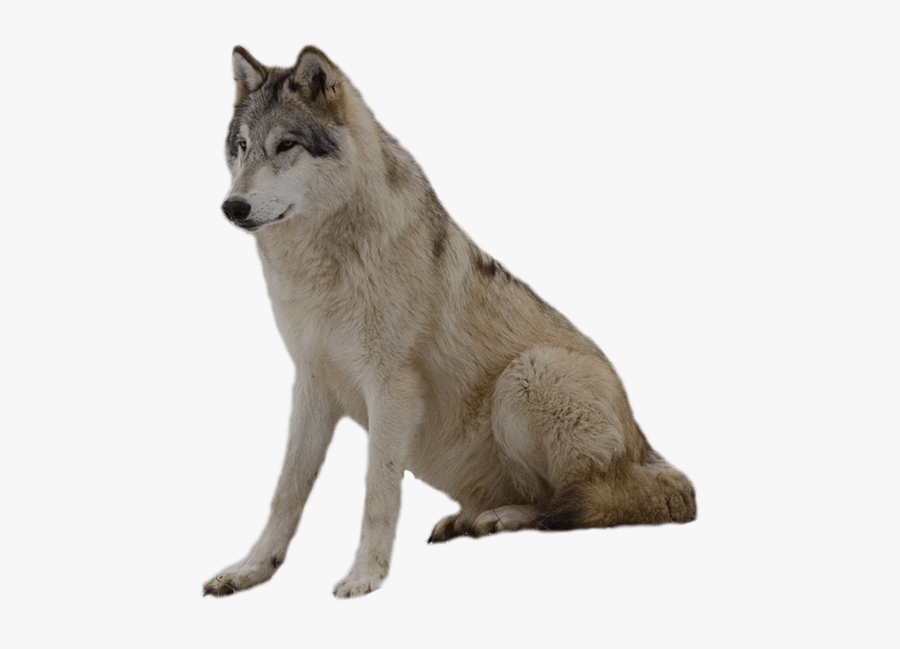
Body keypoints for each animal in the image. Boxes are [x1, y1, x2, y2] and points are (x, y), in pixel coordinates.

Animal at [203, 45, 696, 599]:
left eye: (285, 145)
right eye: (242, 147)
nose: (232, 207)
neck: (323, 264)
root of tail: (647, 447)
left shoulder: (391, 388)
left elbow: (377, 491)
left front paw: (365, 576)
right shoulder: (311, 384)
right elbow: (286, 491)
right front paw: (251, 570)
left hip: (527, 376)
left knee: (582, 503)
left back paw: (499, 518)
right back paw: (469, 519)